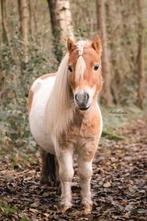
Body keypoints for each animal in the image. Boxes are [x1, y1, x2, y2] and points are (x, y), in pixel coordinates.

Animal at [28, 35, 103, 214]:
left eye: (96, 66)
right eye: (70, 68)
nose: (82, 98)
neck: (80, 119)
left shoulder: (89, 147)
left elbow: (85, 173)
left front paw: (87, 204)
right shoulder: (63, 146)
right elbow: (67, 173)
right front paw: (66, 204)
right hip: (45, 143)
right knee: (46, 156)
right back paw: (47, 181)